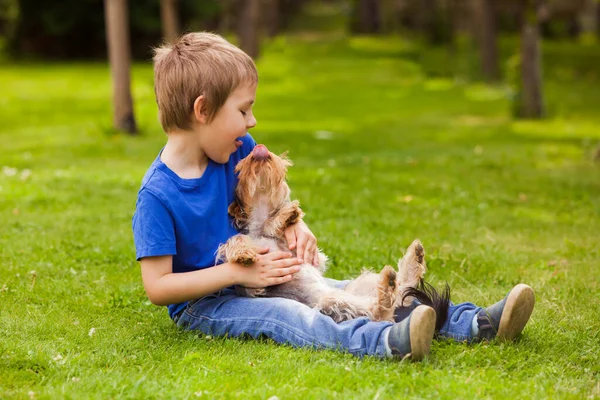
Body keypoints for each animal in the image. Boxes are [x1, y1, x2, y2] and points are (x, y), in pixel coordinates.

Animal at [218, 143, 448, 324]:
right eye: (242, 169)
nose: (259, 148)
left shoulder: (313, 258)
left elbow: (280, 227)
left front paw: (286, 217)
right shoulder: (251, 287)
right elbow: (237, 241)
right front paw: (244, 253)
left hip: (358, 285)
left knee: (399, 293)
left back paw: (410, 263)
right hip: (335, 300)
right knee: (382, 310)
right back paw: (391, 284)